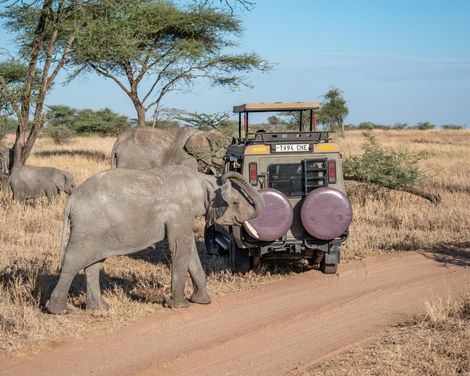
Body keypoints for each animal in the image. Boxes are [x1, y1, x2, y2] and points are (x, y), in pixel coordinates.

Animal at [46, 168, 264, 314]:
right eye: (235, 203)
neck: (203, 179)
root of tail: (71, 202)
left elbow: (189, 250)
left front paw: (202, 301)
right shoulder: (179, 210)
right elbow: (179, 248)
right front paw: (180, 306)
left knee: (94, 264)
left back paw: (100, 309)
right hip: (88, 226)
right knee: (74, 261)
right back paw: (59, 310)